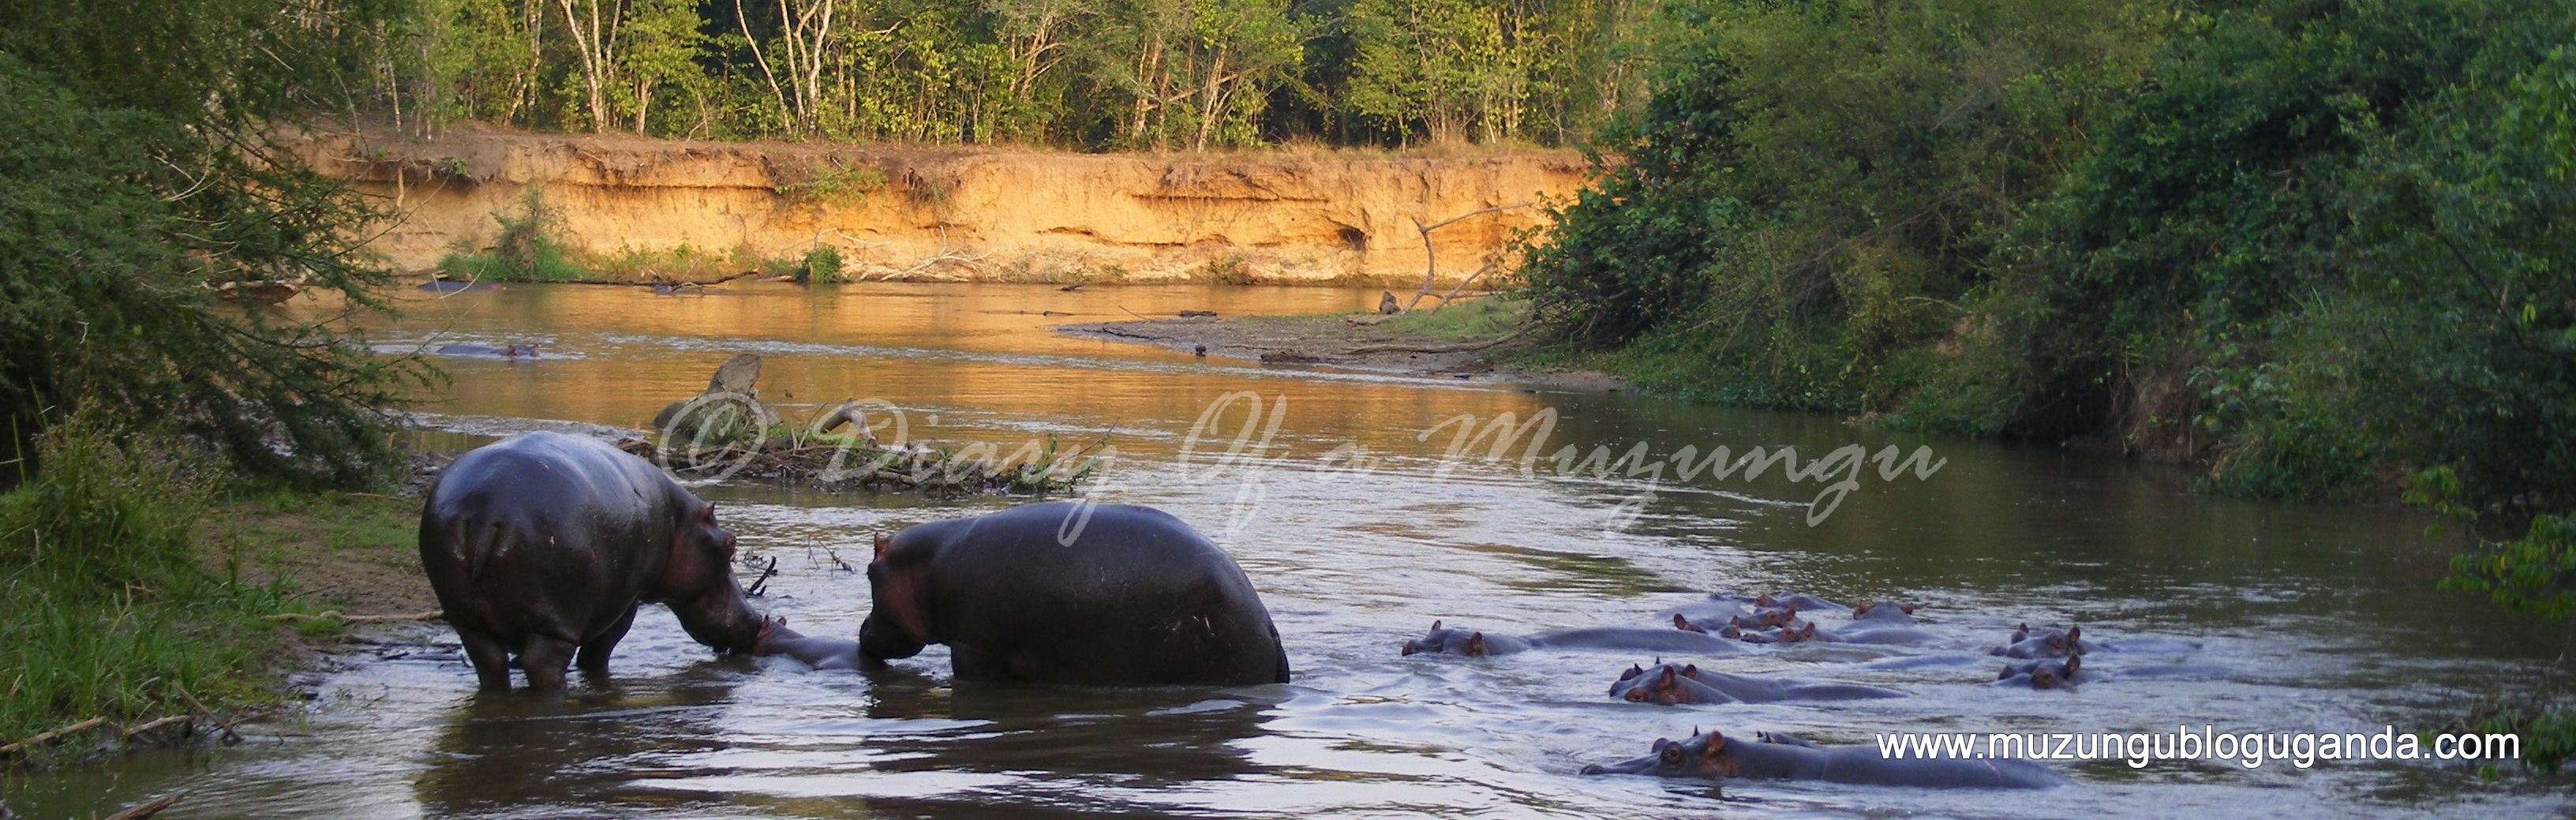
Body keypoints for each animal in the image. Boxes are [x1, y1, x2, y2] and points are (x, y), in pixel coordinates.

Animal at [420, 432, 762, 691]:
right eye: (730, 544)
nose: (757, 619)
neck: (679, 522)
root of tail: (487, 511)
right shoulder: (626, 603)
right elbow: (599, 651)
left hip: (467, 619)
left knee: (490, 663)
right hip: (556, 618)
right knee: (543, 665)